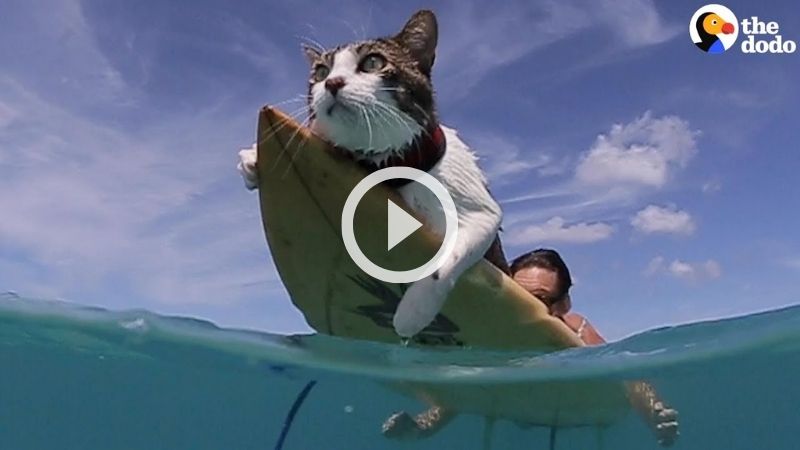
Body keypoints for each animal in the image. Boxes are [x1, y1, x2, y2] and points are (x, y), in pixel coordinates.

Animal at [238, 9, 510, 338]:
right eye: (321, 71)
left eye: (373, 63)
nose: (332, 82)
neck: (386, 164)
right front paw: (253, 157)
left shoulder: (481, 211)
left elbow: (448, 255)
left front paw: (412, 312)